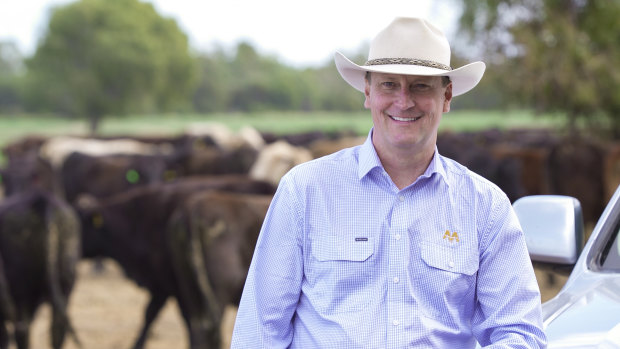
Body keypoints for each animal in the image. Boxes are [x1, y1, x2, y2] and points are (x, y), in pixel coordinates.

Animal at [74, 175, 274, 346]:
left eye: (82, 223)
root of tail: (193, 209)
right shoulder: (167, 287)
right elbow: (151, 315)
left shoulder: (165, 286)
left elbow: (150, 315)